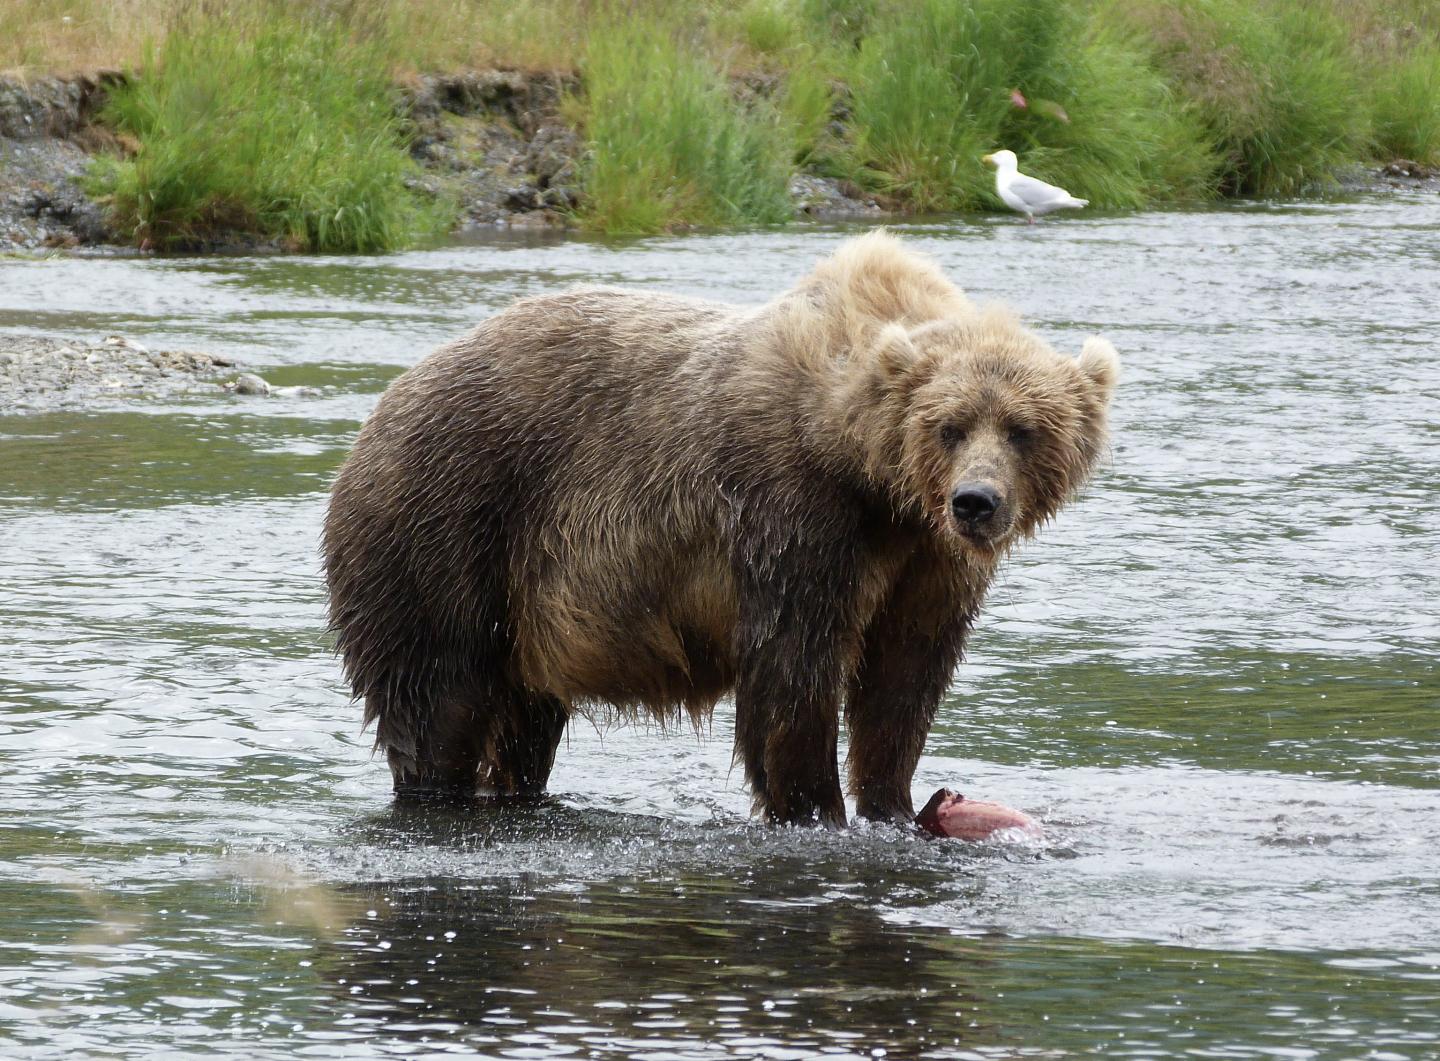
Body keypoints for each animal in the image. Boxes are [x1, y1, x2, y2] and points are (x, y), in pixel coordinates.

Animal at [324, 230, 1111, 829]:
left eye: (1024, 429)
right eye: (948, 426)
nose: (976, 502)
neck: (868, 472)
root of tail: (379, 408)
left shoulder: (926, 561)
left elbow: (903, 678)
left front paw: (893, 802)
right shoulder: (795, 516)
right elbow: (791, 676)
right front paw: (816, 810)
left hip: (525, 604)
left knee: (524, 718)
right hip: (446, 521)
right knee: (439, 694)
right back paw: (438, 792)